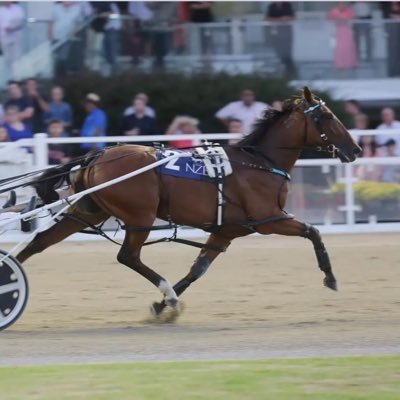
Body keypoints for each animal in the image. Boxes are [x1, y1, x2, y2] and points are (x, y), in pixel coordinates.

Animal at [15, 88, 360, 318]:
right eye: (327, 117)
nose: (355, 149)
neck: (259, 163)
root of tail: (97, 155)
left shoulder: (226, 231)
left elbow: (198, 269)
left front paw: (159, 307)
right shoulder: (271, 219)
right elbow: (313, 231)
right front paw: (330, 277)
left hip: (86, 212)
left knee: (40, 242)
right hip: (139, 216)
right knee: (128, 256)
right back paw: (167, 292)